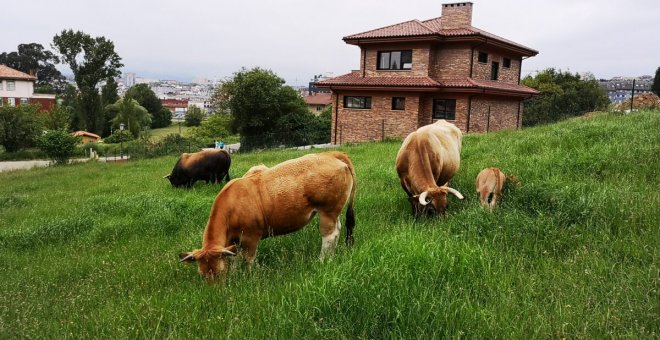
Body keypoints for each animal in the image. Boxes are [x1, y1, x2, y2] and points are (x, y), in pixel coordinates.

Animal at [179, 151, 356, 282]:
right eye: (202, 275)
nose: (216, 291)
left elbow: (249, 259)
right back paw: (331, 256)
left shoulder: (251, 237)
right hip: (333, 212)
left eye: (219, 273)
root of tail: (331, 154)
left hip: (327, 211)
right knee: (337, 230)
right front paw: (235, 275)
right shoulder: (233, 243)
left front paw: (251, 276)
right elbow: (234, 258)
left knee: (329, 235)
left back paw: (322, 260)